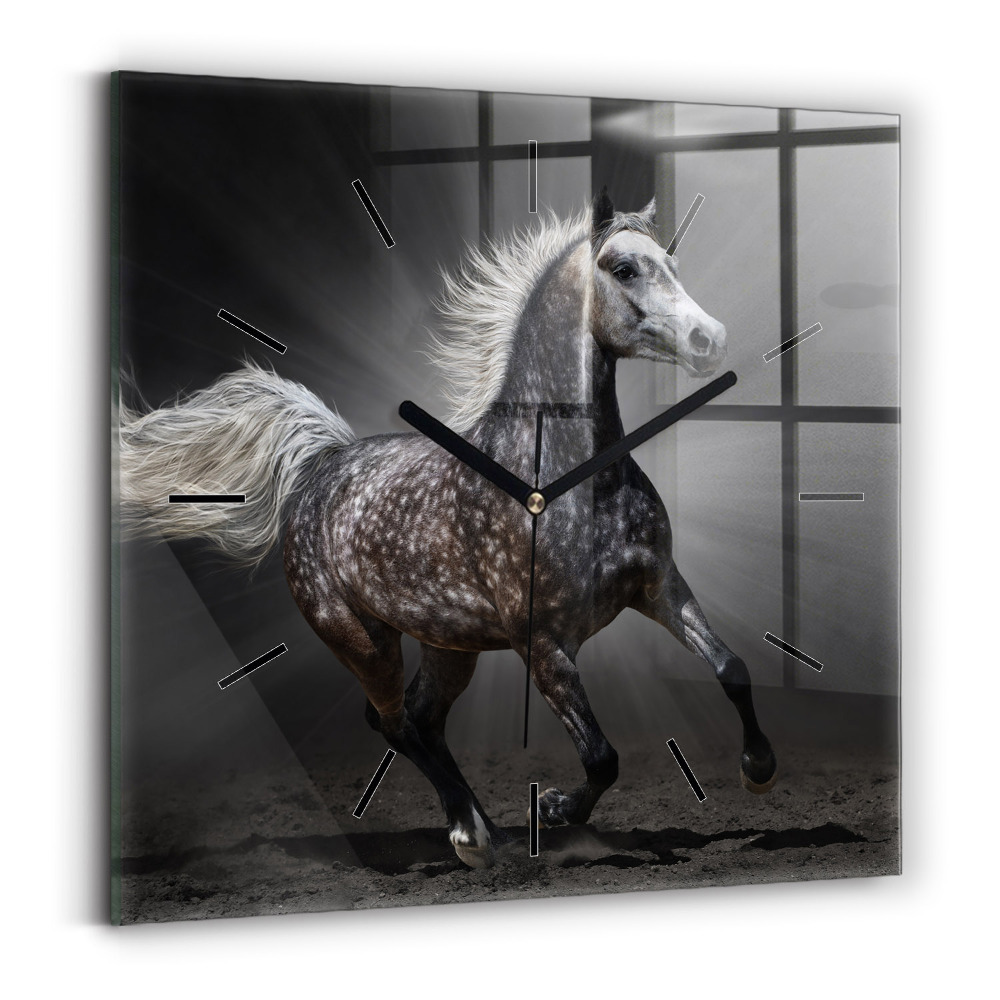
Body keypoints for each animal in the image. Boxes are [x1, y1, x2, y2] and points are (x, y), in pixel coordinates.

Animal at [119, 189, 777, 869]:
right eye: (624, 269)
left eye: (671, 263)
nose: (709, 339)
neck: (563, 478)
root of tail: (323, 465)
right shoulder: (544, 645)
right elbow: (602, 758)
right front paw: (554, 809)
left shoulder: (660, 587)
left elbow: (732, 669)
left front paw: (758, 768)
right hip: (361, 640)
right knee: (392, 721)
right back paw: (470, 834)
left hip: (448, 645)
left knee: (422, 719)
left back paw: (489, 830)